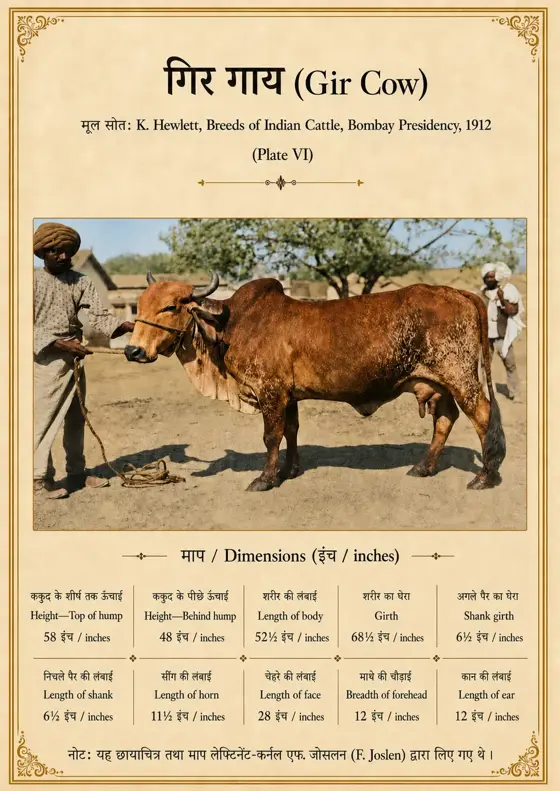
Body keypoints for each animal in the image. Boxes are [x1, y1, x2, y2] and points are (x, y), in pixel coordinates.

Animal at [124, 271, 506, 493]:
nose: (132, 349)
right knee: (445, 419)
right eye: (139, 304)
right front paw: (290, 470)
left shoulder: (270, 392)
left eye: (171, 306)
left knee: (482, 416)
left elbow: (271, 436)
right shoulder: (288, 395)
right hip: (435, 383)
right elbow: (291, 431)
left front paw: (265, 478)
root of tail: (459, 293)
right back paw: (423, 467)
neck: (230, 325)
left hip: (460, 378)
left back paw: (485, 476)